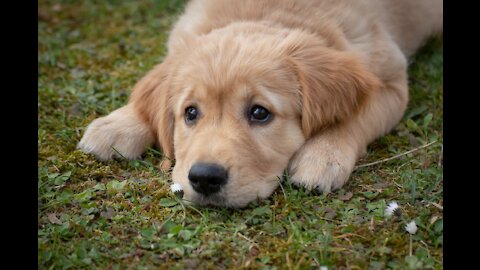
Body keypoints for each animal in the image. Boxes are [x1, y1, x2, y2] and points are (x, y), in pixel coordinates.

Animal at [78, 0, 442, 208]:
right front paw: (118, 124)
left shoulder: (391, 81)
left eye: (259, 113)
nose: (204, 178)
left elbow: (356, 116)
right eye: (190, 112)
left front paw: (323, 155)